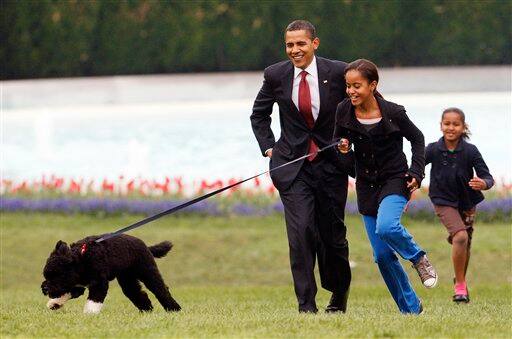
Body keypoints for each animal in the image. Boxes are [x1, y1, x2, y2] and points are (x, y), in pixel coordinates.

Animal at [42, 235, 182, 314]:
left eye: (57, 275)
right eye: (47, 275)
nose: (45, 289)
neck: (81, 259)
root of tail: (146, 246)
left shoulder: (99, 283)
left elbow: (94, 300)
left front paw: (89, 313)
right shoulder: (77, 285)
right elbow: (67, 293)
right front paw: (54, 303)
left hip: (147, 271)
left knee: (161, 289)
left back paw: (174, 309)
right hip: (127, 278)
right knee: (137, 293)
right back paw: (147, 310)